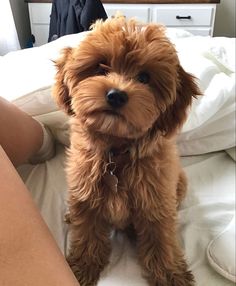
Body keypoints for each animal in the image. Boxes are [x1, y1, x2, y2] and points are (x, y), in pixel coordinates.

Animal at [53, 16, 201, 284]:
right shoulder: (86, 194)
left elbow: (161, 240)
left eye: (144, 78)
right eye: (100, 68)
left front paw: (171, 275)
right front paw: (82, 268)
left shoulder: (156, 201)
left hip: (179, 184)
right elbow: (88, 233)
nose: (116, 95)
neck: (116, 152)